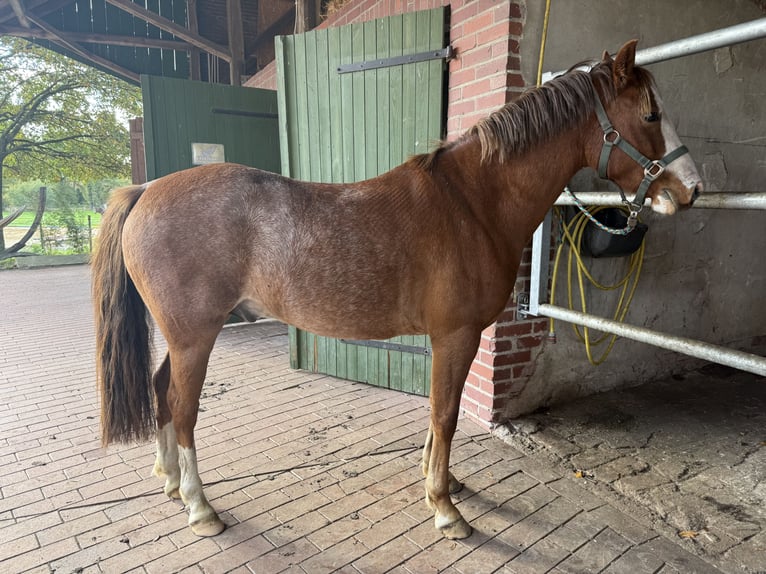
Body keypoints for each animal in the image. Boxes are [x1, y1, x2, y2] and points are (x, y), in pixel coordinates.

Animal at [92, 40, 702, 540]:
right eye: (650, 114)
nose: (693, 189)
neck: (473, 204)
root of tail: (146, 189)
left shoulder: (447, 338)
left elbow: (437, 413)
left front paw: (443, 484)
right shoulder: (456, 335)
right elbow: (446, 414)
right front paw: (445, 510)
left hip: (182, 337)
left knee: (160, 390)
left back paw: (170, 482)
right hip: (195, 335)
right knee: (181, 406)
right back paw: (200, 507)